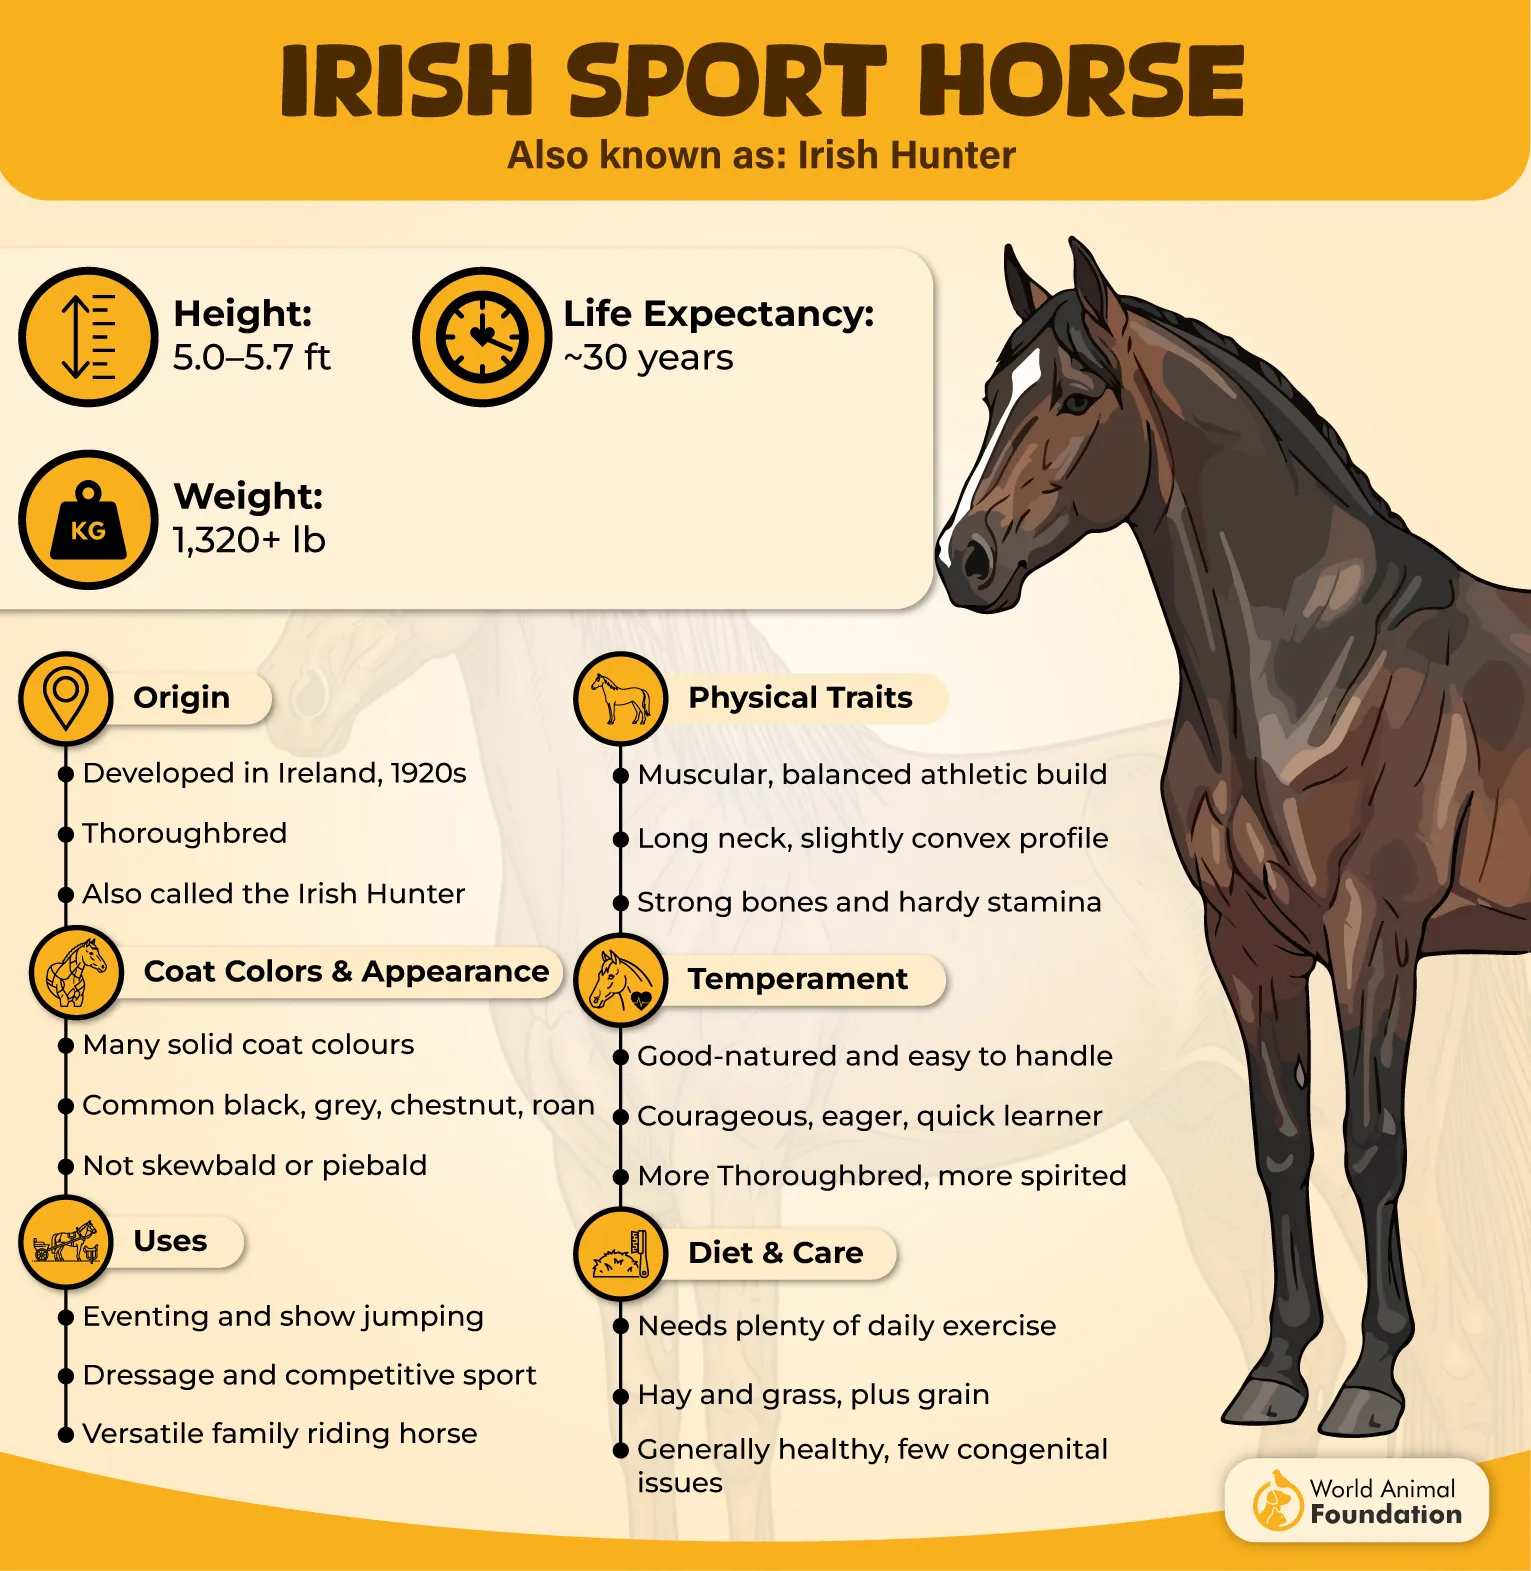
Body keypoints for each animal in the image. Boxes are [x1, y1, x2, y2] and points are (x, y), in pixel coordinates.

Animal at [937, 237, 1531, 1439]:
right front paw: (1277, 1369)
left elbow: (1369, 1146)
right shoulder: (1246, 944)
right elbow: (1278, 1143)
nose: (960, 559)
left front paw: (1369, 1381)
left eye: (1076, 397)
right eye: (988, 396)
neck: (1319, 669)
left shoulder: (1373, 938)